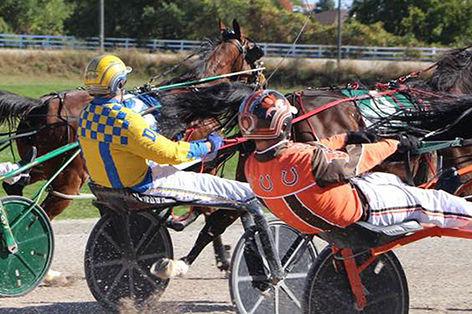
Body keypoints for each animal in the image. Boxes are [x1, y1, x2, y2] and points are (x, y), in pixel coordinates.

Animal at [0, 18, 262, 280]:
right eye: (254, 51)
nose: (261, 80)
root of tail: (43, 106)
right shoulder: (202, 164)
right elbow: (207, 206)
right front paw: (218, 257)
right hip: (69, 179)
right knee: (41, 211)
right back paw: (40, 265)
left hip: (42, 165)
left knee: (16, 181)